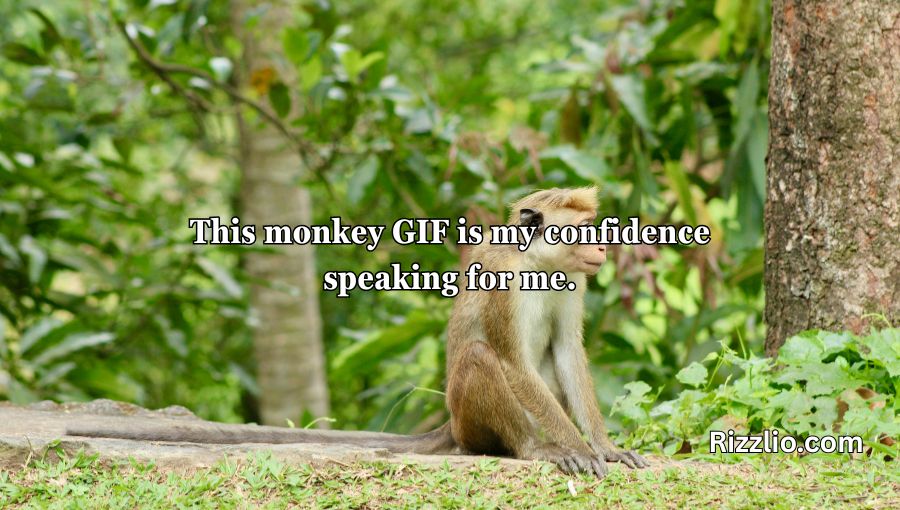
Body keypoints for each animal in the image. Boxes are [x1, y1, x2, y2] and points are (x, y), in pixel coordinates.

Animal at [67, 187, 648, 478]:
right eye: (581, 229)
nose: (601, 248)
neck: (539, 262)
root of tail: (452, 427)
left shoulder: (573, 282)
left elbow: (567, 353)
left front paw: (605, 446)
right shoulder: (506, 282)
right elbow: (510, 362)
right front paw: (577, 448)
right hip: (470, 422)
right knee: (480, 359)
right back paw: (533, 448)